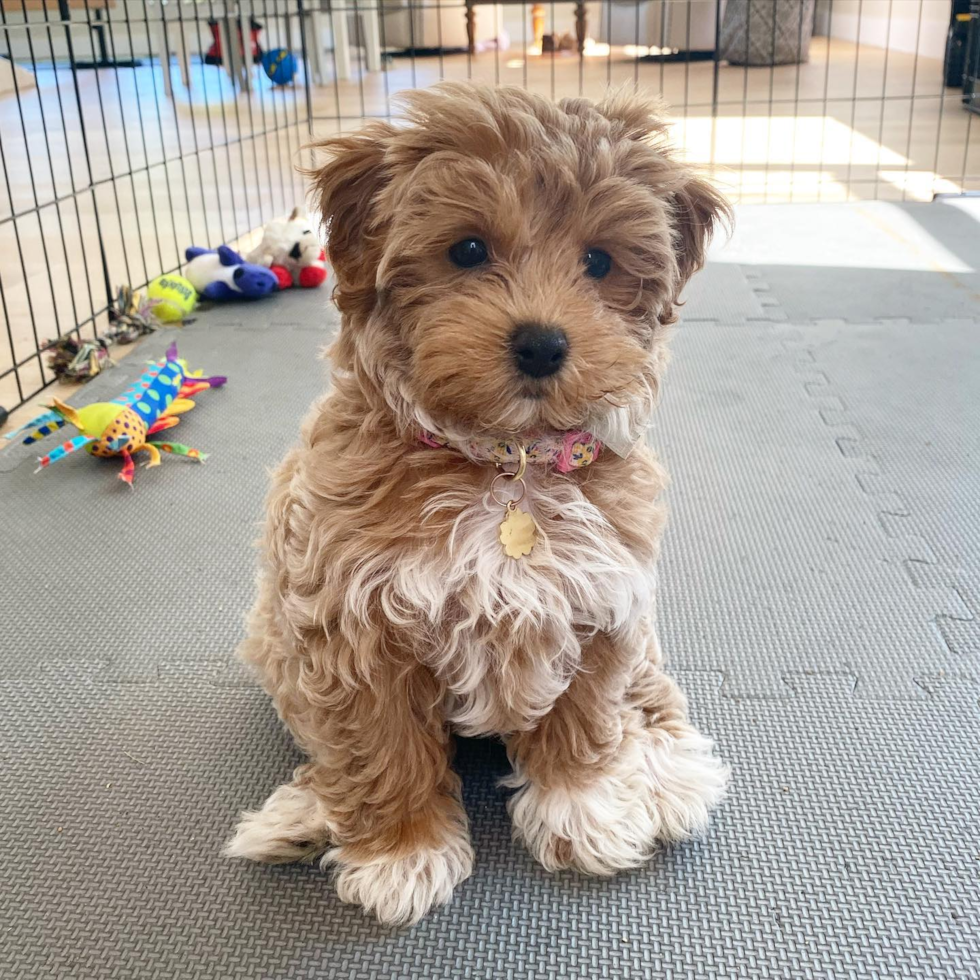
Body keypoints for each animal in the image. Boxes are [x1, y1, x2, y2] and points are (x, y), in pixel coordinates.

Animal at [228, 84, 728, 928]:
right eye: (467, 250)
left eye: (599, 262)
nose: (541, 344)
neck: (507, 461)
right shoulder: (349, 624)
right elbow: (378, 745)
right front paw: (400, 854)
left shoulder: (602, 603)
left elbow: (586, 722)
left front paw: (583, 811)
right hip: (276, 640)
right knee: (322, 742)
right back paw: (303, 813)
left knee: (652, 698)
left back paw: (666, 775)